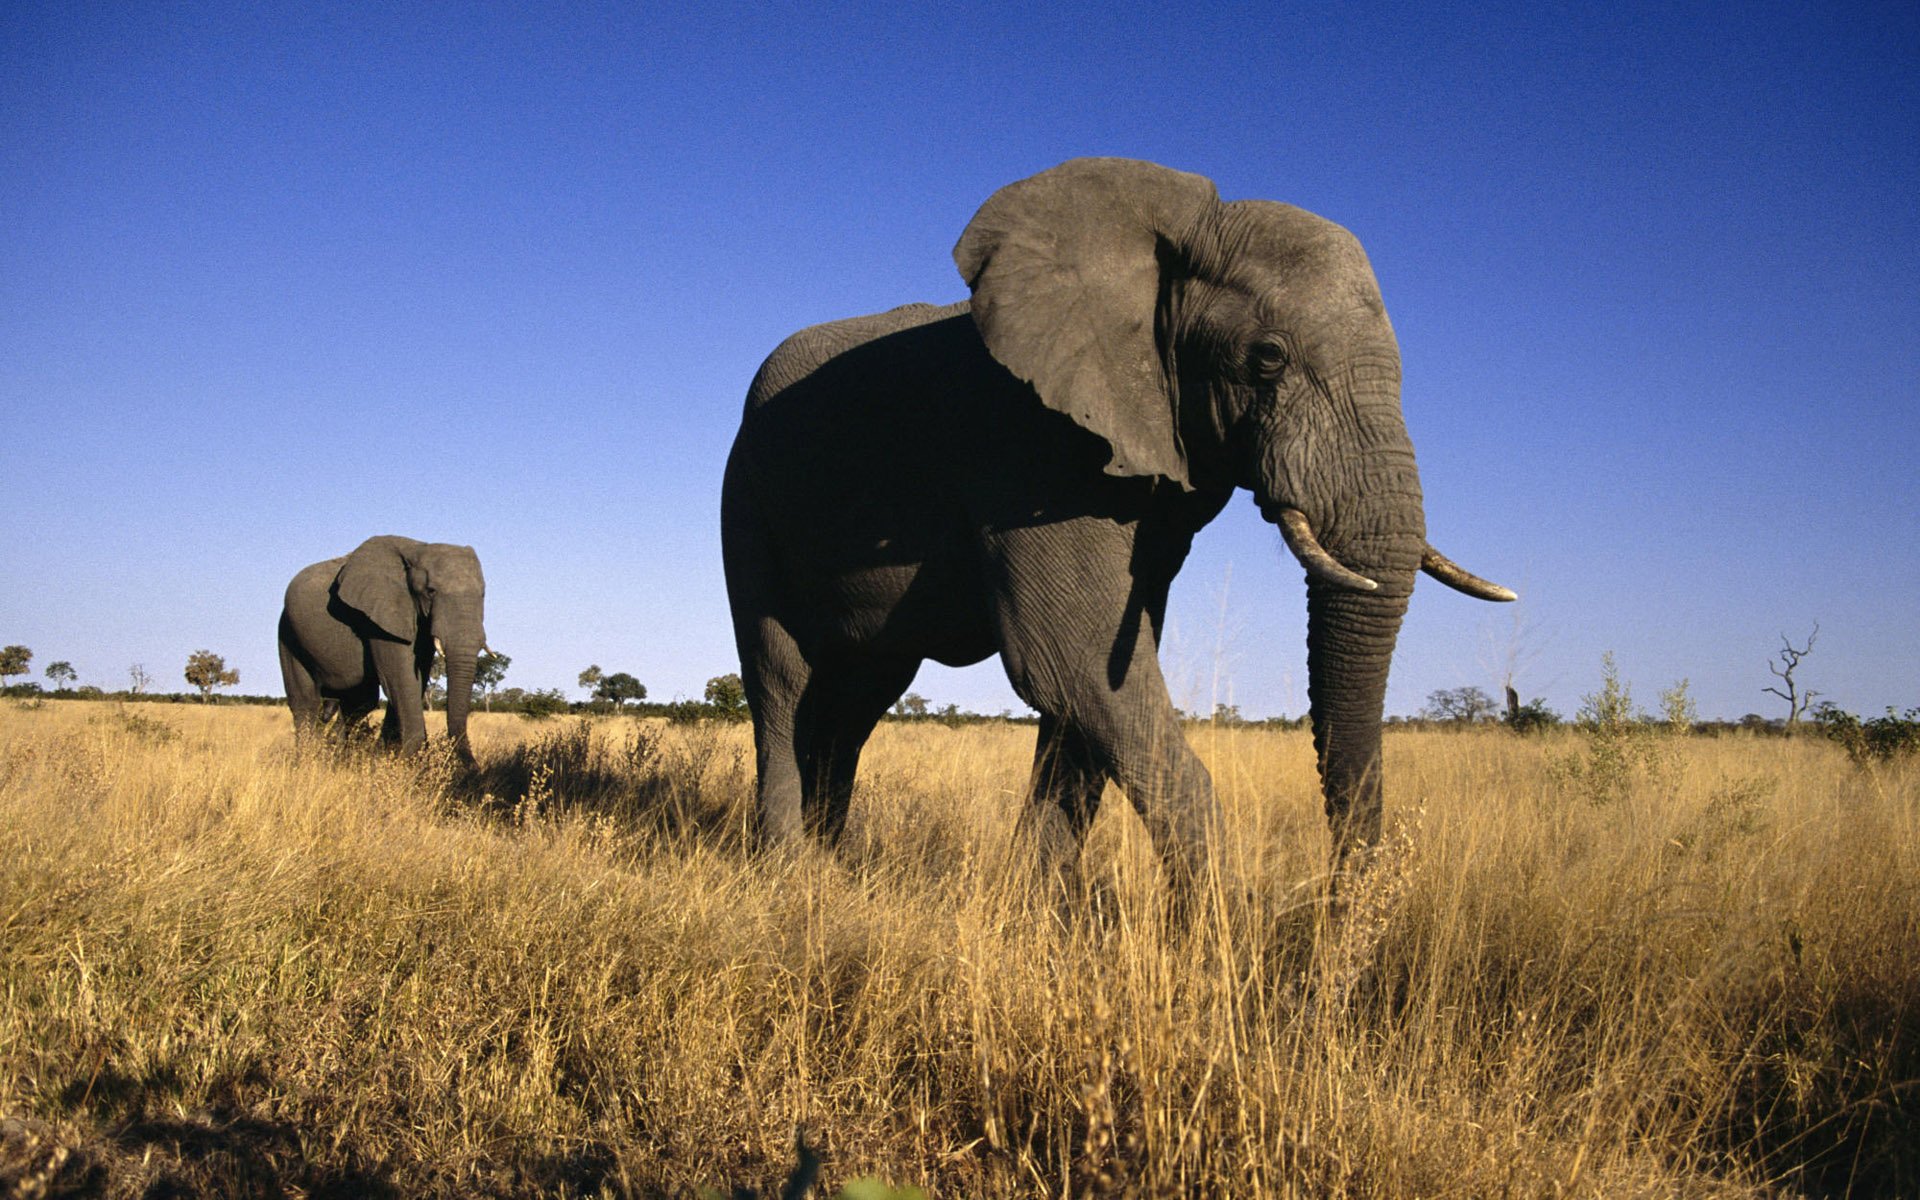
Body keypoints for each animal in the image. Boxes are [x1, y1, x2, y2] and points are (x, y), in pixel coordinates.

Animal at [278, 535, 488, 761]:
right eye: (430, 592)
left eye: (483, 594)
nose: (475, 767)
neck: (418, 550)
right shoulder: (381, 618)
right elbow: (402, 680)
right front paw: (410, 760)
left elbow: (416, 678)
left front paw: (386, 757)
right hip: (288, 634)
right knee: (305, 701)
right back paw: (310, 758)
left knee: (360, 701)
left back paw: (336, 753)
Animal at [721, 158, 1512, 886]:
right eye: (1267, 358)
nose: (1337, 903)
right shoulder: (1029, 445)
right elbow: (1070, 662)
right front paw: (1227, 927)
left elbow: (1094, 681)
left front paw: (1039, 908)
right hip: (746, 499)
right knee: (783, 678)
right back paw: (791, 873)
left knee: (861, 692)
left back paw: (833, 864)